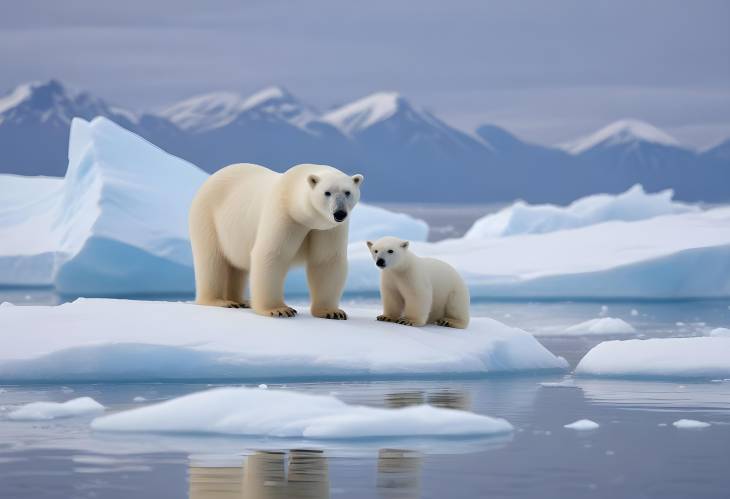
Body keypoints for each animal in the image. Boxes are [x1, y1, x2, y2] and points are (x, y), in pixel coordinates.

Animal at [189, 164, 362, 320]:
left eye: (347, 192)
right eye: (327, 192)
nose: (340, 213)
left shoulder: (328, 228)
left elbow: (327, 260)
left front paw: (332, 312)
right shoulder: (284, 214)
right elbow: (272, 253)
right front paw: (279, 310)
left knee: (236, 266)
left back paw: (241, 301)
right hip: (208, 217)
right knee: (212, 260)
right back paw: (220, 301)